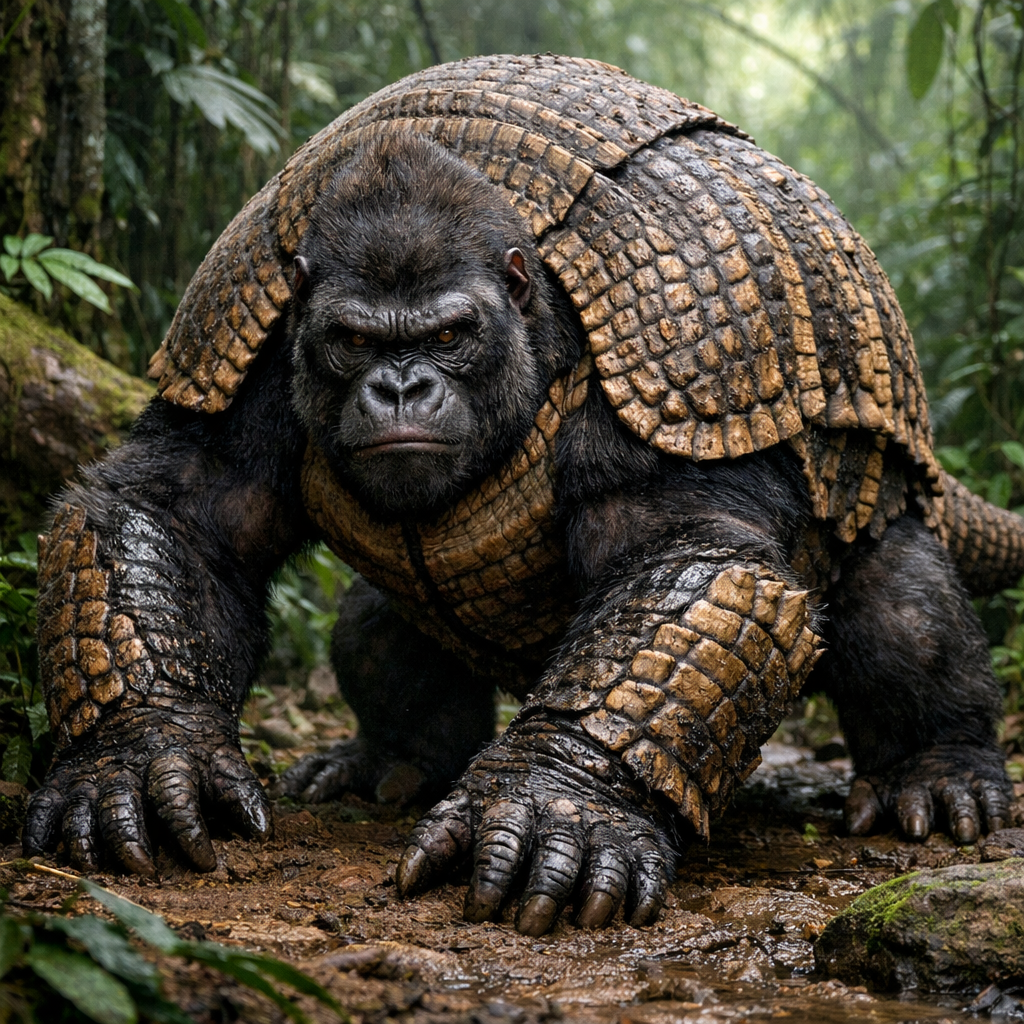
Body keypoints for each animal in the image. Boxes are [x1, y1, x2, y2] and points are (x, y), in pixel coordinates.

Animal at [23, 133, 1012, 938]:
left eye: (452, 333)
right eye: (352, 340)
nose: (400, 386)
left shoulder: (670, 374)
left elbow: (693, 558)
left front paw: (556, 807)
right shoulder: (245, 349)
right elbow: (177, 509)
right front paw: (136, 761)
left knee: (901, 608)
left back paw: (940, 777)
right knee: (372, 627)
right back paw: (387, 764)